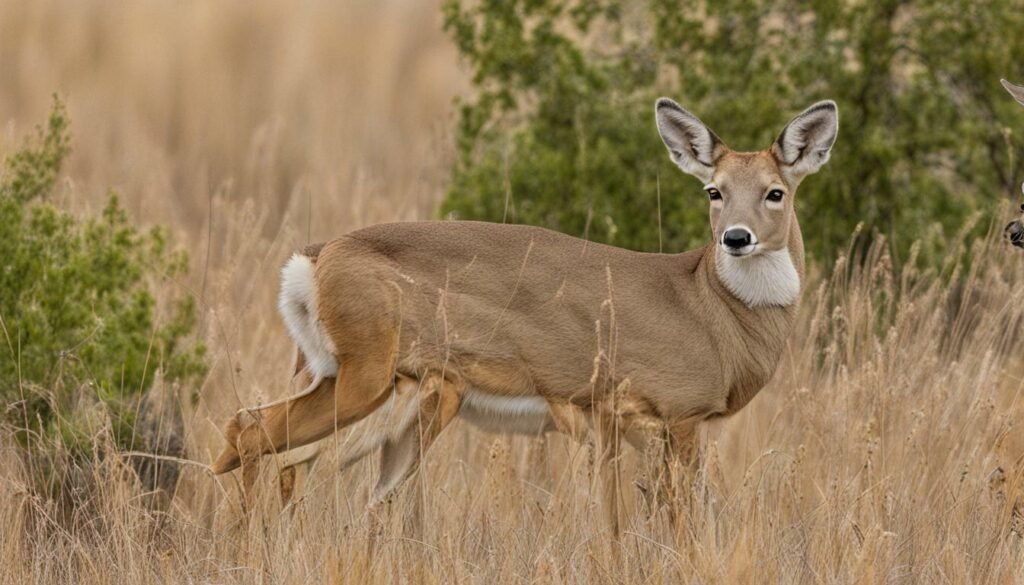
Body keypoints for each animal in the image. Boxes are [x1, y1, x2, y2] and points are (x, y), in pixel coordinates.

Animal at [211, 98, 835, 532]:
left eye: (775, 191)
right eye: (714, 190)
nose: (736, 237)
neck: (710, 310)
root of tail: (314, 260)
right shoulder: (660, 411)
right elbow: (650, 521)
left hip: (390, 393)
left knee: (316, 472)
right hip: (366, 375)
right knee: (251, 431)